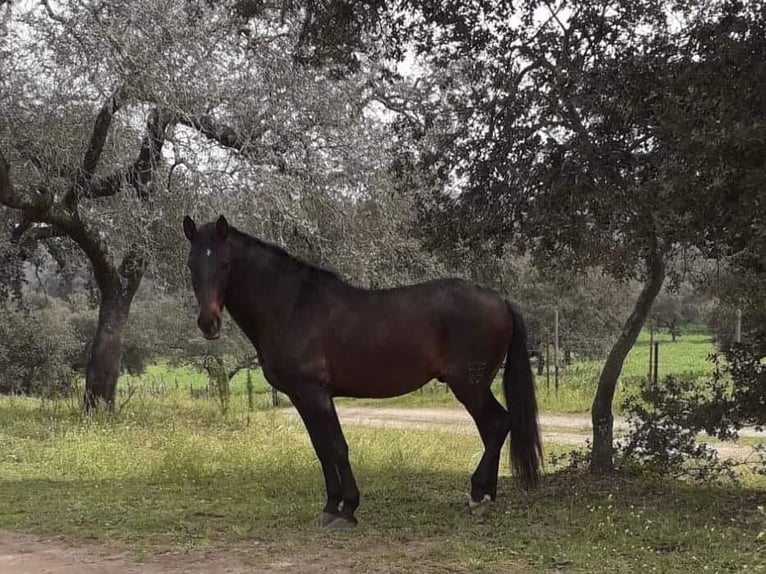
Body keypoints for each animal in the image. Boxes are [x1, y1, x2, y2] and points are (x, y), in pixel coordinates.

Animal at [183, 215, 544, 532]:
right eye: (191, 266)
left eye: (225, 264)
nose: (208, 323)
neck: (293, 308)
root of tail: (501, 302)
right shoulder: (301, 397)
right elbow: (321, 448)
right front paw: (330, 507)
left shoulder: (316, 393)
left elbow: (337, 446)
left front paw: (348, 509)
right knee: (492, 428)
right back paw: (485, 495)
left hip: (469, 384)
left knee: (497, 425)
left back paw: (479, 496)